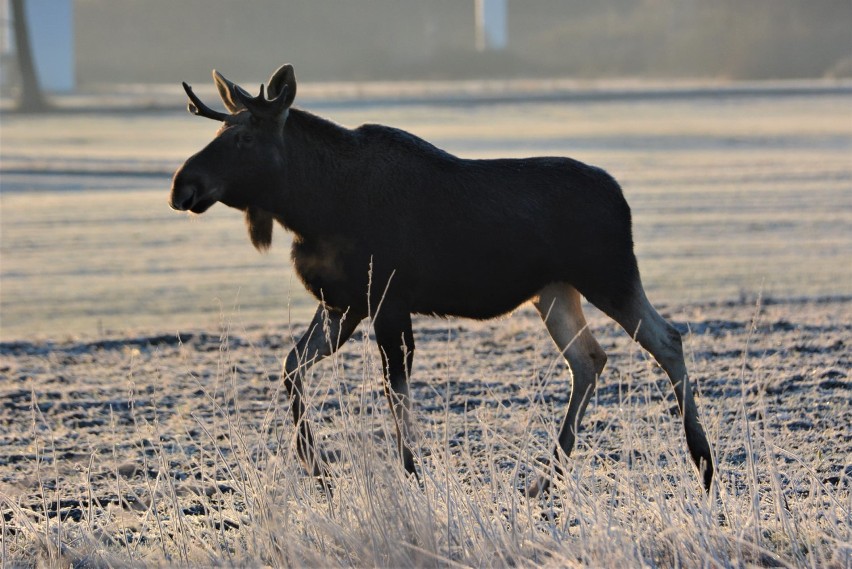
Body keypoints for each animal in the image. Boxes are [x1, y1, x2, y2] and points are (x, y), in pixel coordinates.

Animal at [166, 64, 712, 494]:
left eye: (243, 137)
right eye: (217, 134)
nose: (181, 185)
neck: (310, 207)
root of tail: (622, 199)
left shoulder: (387, 300)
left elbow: (396, 393)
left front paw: (413, 475)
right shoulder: (344, 304)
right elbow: (291, 367)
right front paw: (318, 470)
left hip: (609, 274)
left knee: (667, 339)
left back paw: (702, 463)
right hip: (555, 291)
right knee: (589, 359)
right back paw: (545, 478)